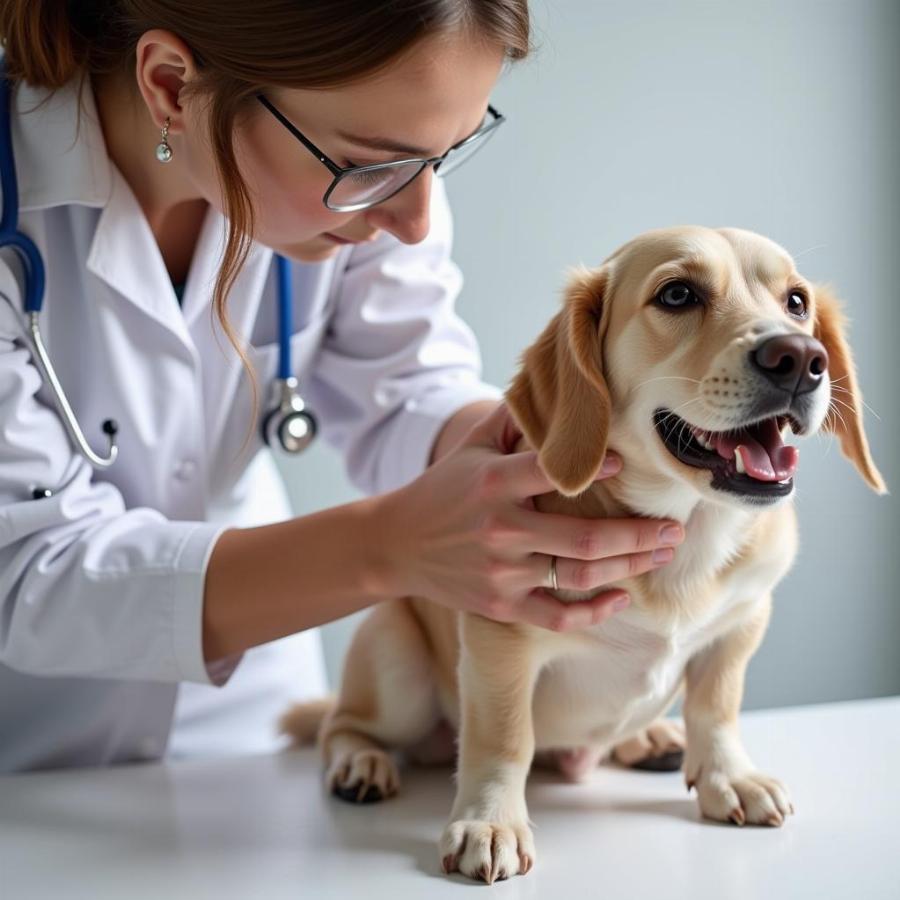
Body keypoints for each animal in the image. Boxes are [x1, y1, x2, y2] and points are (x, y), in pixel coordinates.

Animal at [280, 227, 884, 884]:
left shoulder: (741, 624)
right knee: (342, 724)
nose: (800, 357)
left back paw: (651, 739)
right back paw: (360, 763)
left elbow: (716, 708)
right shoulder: (499, 640)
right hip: (395, 664)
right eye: (678, 294)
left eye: (796, 301)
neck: (689, 530)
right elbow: (503, 739)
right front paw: (491, 821)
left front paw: (730, 776)